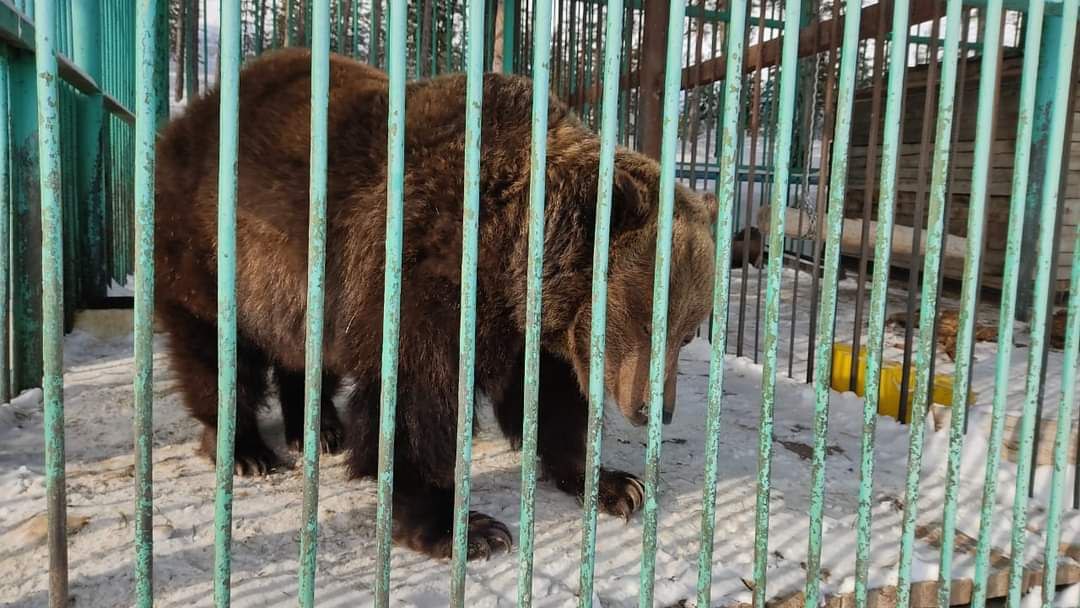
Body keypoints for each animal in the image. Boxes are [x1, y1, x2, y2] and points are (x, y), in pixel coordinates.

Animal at [152, 48, 717, 561]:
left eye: (688, 330)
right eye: (646, 320)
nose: (654, 409)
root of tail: (190, 115)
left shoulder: (527, 331)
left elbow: (550, 402)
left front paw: (614, 483)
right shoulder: (424, 273)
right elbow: (415, 400)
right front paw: (461, 527)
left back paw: (320, 428)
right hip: (213, 250)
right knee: (215, 352)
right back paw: (243, 449)